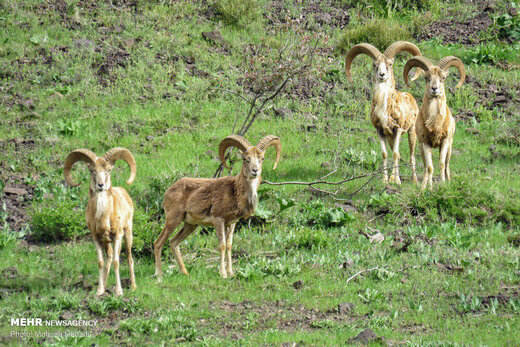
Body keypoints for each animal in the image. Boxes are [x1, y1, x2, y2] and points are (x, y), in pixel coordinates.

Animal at [64, 148, 137, 298]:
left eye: (108, 170)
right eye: (92, 171)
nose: (101, 185)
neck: (103, 216)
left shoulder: (117, 236)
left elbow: (116, 262)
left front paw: (119, 292)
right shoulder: (97, 238)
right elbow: (101, 262)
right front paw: (99, 290)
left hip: (127, 234)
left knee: (128, 257)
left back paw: (133, 286)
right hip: (106, 242)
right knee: (109, 257)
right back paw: (104, 286)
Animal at [153, 135, 280, 282]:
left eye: (262, 158)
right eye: (245, 159)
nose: (255, 171)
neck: (235, 191)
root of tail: (168, 191)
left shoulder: (231, 224)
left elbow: (229, 246)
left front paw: (231, 273)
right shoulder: (219, 221)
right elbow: (222, 245)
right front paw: (223, 274)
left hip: (190, 225)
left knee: (173, 242)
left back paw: (184, 273)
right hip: (173, 220)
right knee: (158, 243)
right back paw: (159, 275)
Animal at [346, 41, 422, 185]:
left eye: (390, 64)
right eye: (375, 65)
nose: (382, 75)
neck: (385, 108)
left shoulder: (398, 130)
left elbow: (396, 154)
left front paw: (395, 180)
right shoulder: (381, 131)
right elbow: (386, 154)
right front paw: (385, 180)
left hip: (412, 132)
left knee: (412, 156)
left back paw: (415, 180)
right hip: (391, 138)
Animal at [402, 56, 468, 190]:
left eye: (443, 78)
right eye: (427, 78)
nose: (434, 89)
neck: (435, 124)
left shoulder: (444, 141)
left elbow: (442, 164)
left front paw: (443, 186)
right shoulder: (425, 143)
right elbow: (429, 167)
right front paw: (427, 188)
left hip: (449, 148)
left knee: (447, 165)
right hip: (421, 148)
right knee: (427, 167)